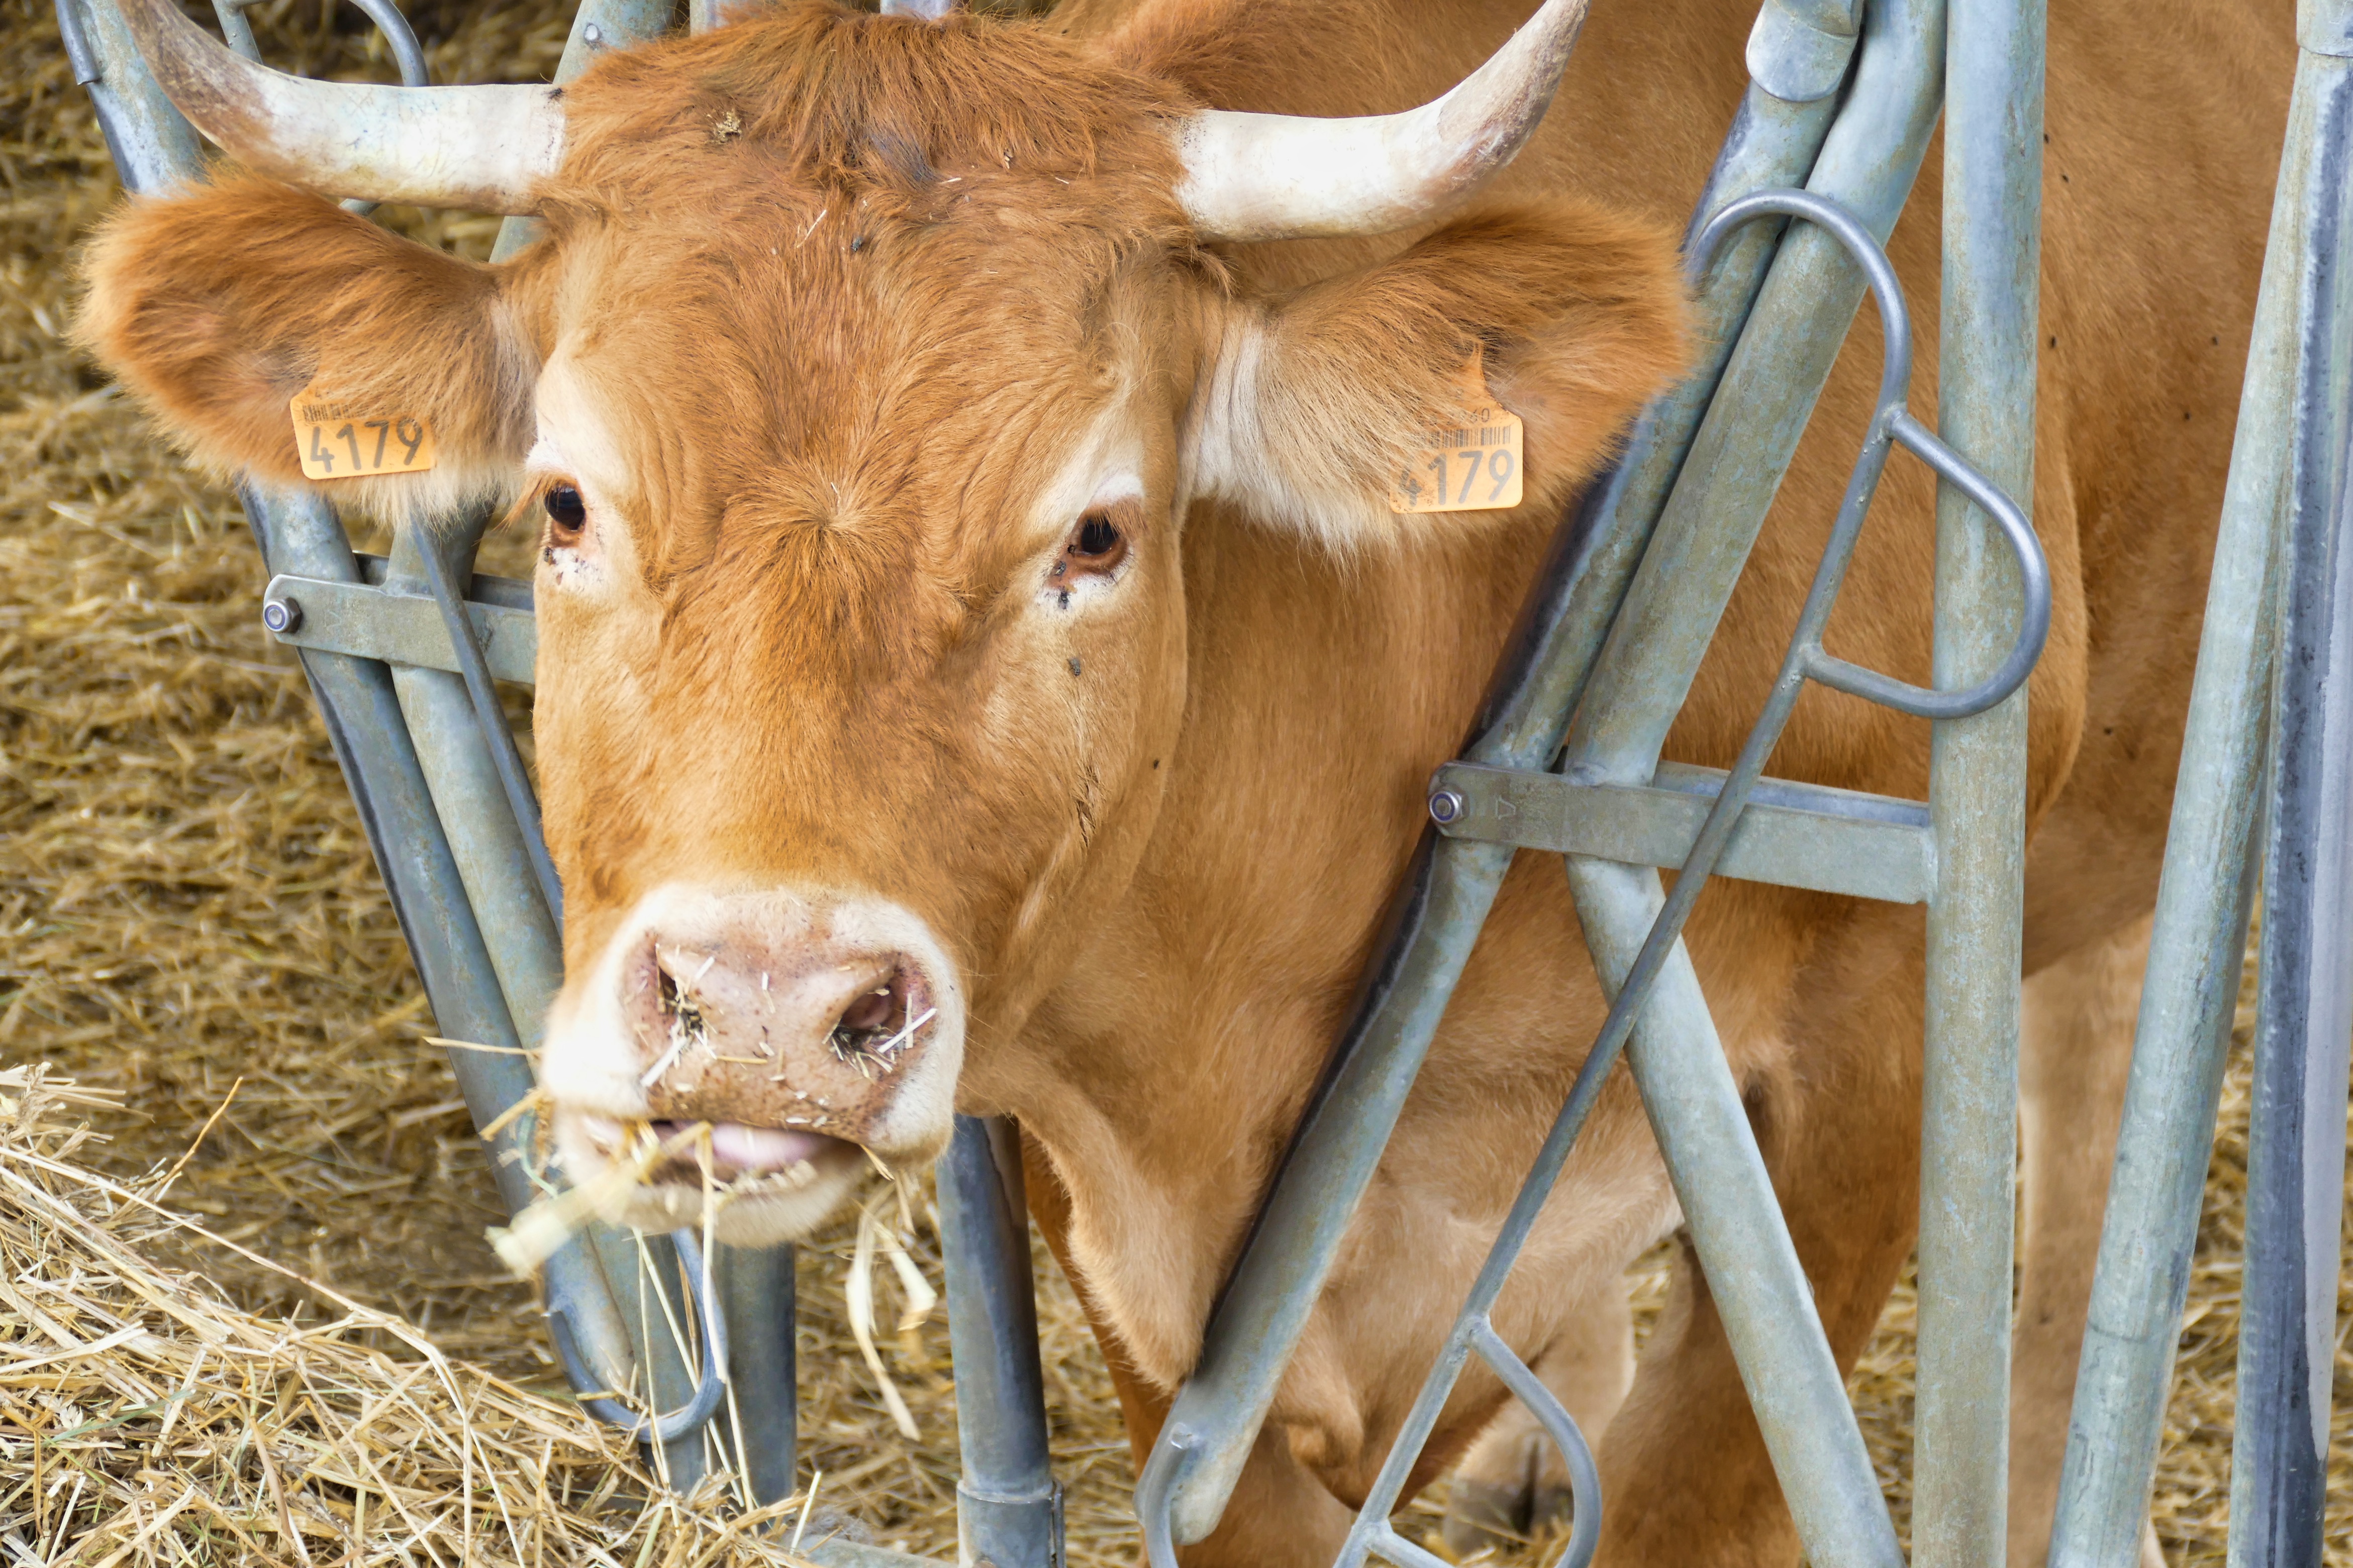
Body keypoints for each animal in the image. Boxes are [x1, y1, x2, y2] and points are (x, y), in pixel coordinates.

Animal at [75, 0, 2291, 1562]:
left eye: (1097, 532)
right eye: (561, 503)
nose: (772, 1008)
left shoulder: (1852, 1089)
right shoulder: (1135, 1250)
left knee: (2085, 1141)